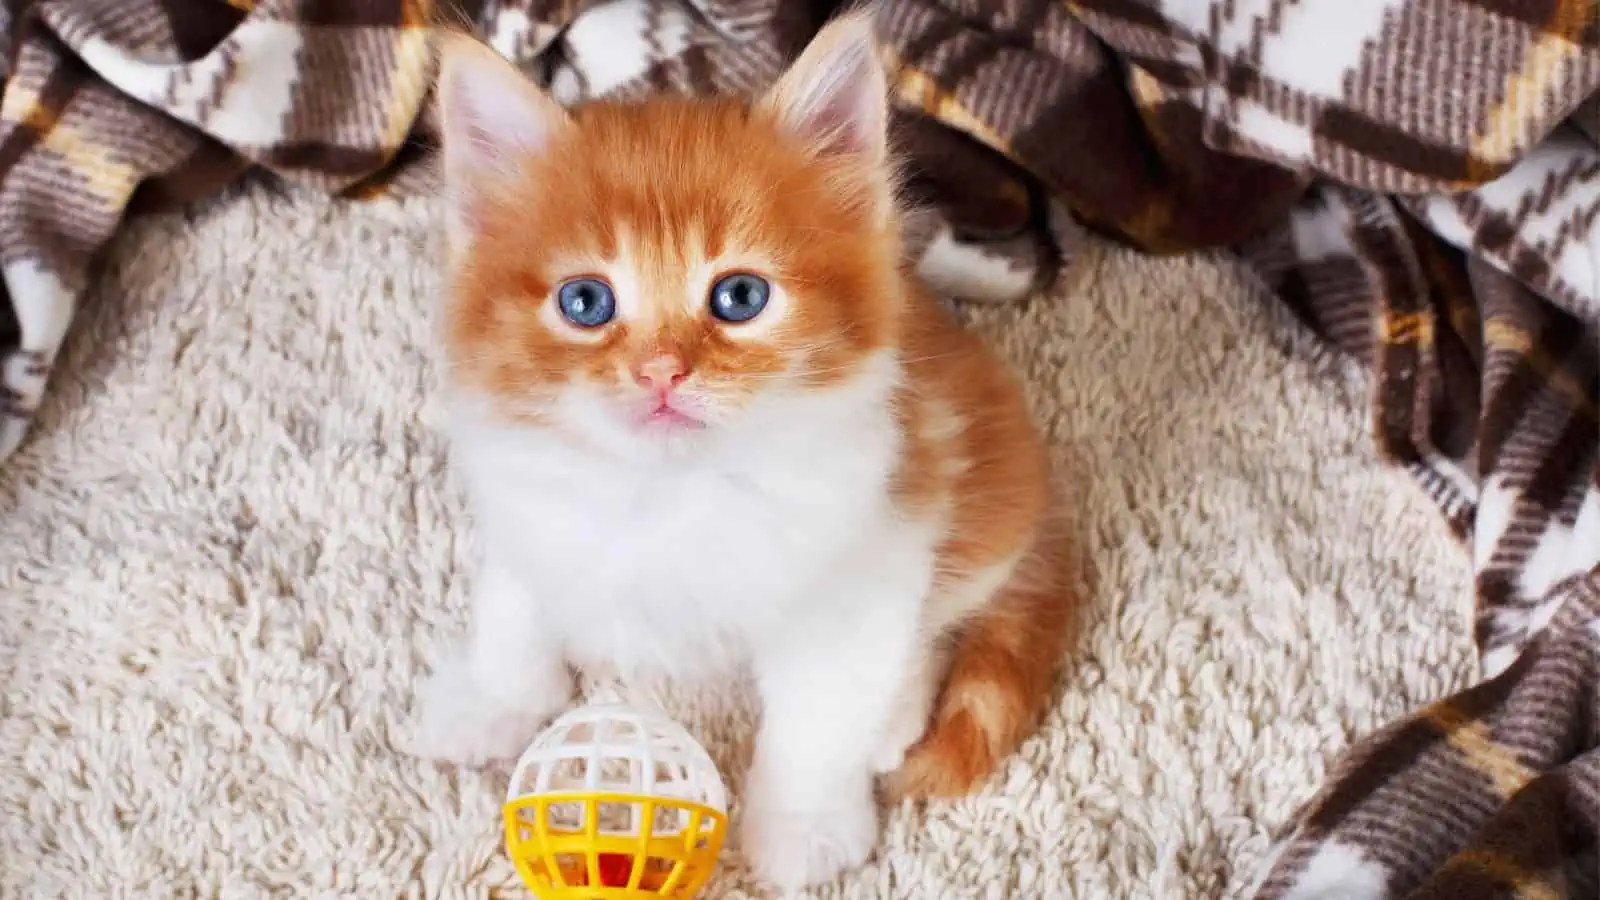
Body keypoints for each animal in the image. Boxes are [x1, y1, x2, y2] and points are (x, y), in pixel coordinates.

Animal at [419, 12, 1081, 883]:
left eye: (739, 296)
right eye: (585, 301)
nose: (662, 370)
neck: (665, 492)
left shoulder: (868, 552)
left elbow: (822, 711)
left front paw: (804, 829)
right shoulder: (529, 498)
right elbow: (516, 600)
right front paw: (497, 701)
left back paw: (892, 722)